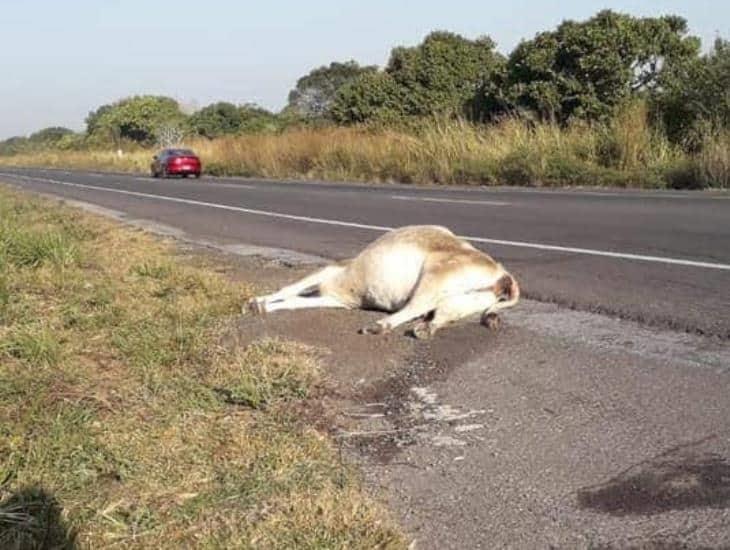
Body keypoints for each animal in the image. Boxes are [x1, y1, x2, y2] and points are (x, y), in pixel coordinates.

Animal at [247, 225, 520, 338]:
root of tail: (503, 273)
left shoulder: (333, 268)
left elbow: (292, 288)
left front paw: (257, 302)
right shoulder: (337, 299)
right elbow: (296, 299)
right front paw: (262, 305)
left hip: (435, 275)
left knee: (416, 306)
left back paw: (379, 326)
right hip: (469, 299)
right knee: (441, 312)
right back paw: (425, 328)